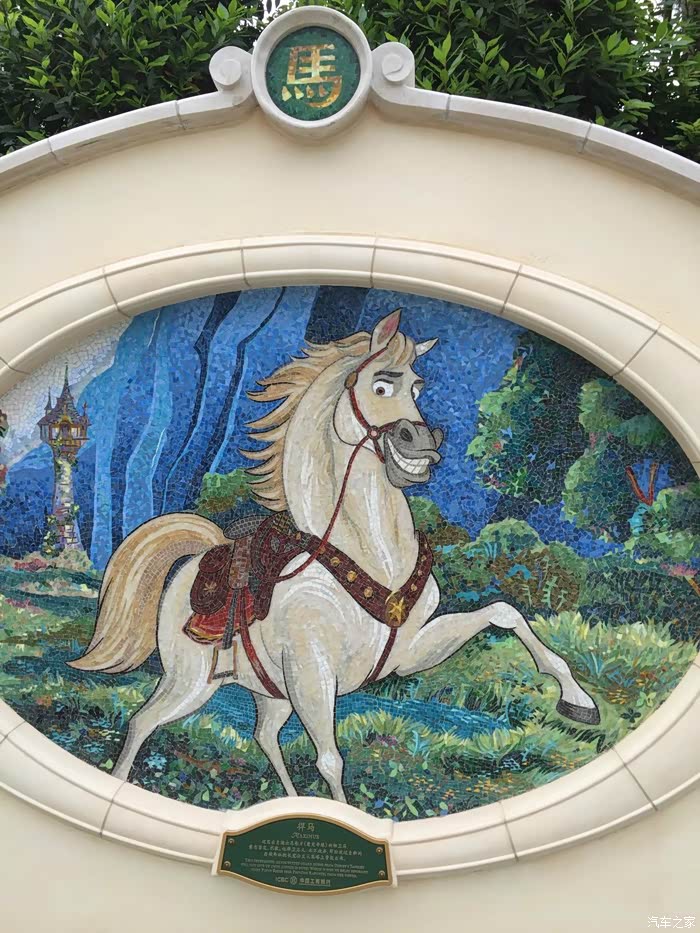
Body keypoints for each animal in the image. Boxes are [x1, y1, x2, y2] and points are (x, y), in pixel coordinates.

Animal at [70, 310, 600, 803]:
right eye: (381, 384)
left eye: (419, 386)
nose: (422, 444)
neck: (371, 556)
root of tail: (191, 566)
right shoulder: (312, 672)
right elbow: (330, 761)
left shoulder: (408, 654)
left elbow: (504, 612)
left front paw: (579, 701)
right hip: (191, 681)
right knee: (142, 721)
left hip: (269, 692)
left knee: (263, 735)